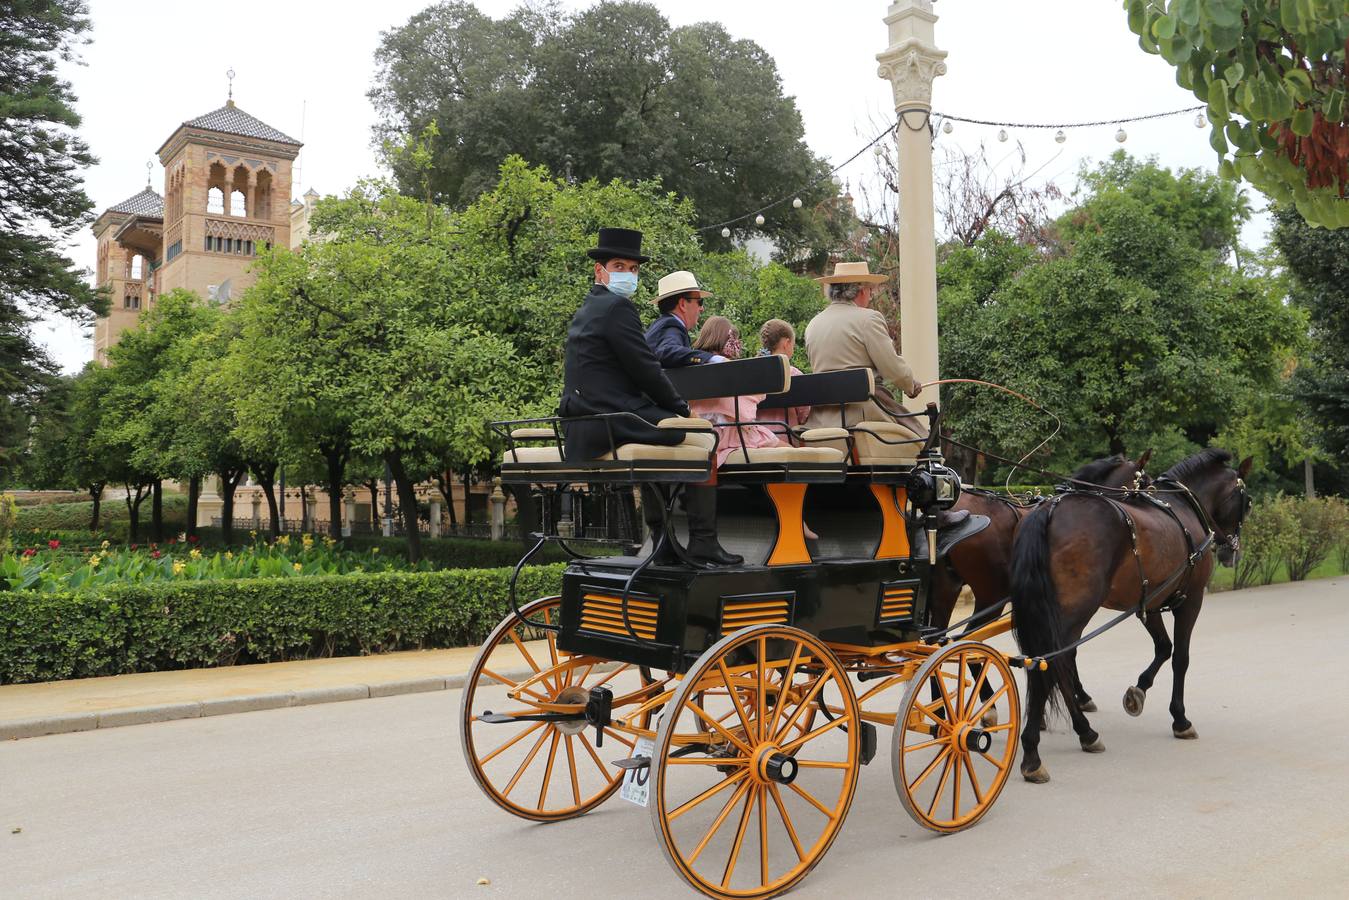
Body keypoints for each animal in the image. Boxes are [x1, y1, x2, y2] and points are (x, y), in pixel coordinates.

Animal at [933, 453, 1154, 712]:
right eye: (1146, 485)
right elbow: (1068, 650)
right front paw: (1080, 695)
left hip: (946, 590)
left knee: (936, 642)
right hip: (990, 596)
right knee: (965, 641)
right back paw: (986, 701)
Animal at [1009, 447, 1246, 782]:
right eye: (1245, 501)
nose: (1230, 551)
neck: (1183, 508)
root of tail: (1050, 509)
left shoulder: (1150, 600)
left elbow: (1163, 647)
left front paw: (1138, 691)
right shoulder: (1191, 601)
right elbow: (1180, 657)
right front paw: (1180, 719)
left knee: (1047, 663)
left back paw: (1081, 732)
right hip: (1074, 610)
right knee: (1053, 662)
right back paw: (1036, 751)